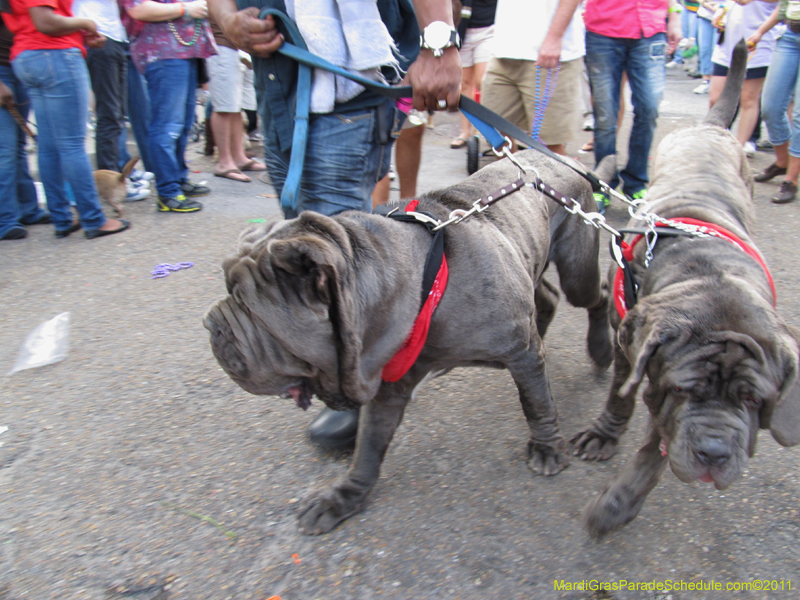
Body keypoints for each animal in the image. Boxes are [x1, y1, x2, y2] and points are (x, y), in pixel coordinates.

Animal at [206, 149, 612, 536]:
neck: (425, 288)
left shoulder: (520, 351)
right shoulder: (387, 386)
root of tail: (568, 161)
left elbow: (537, 402)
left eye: (249, 308)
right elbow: (368, 449)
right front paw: (344, 496)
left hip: (578, 270)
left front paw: (547, 448)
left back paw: (602, 350)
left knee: (599, 294)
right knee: (547, 295)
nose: (210, 324)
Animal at [572, 43, 796, 540]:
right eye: (684, 389)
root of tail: (709, 127)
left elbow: (655, 450)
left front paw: (619, 501)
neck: (708, 270)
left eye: (754, 399)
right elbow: (623, 396)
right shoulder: (633, 349)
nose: (714, 452)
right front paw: (606, 435)